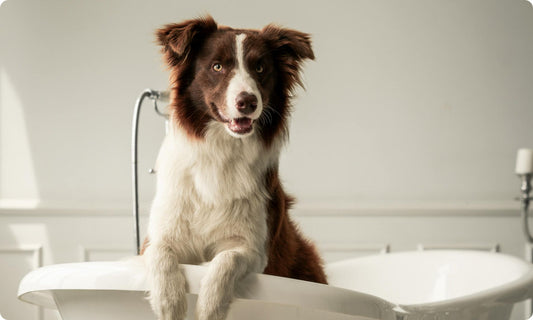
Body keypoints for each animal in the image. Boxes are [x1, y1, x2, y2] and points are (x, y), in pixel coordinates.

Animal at [141, 16, 324, 320]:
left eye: (260, 68)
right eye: (217, 66)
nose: (247, 102)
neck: (222, 150)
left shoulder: (255, 248)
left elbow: (227, 258)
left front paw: (209, 305)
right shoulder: (159, 234)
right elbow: (159, 252)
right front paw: (169, 301)